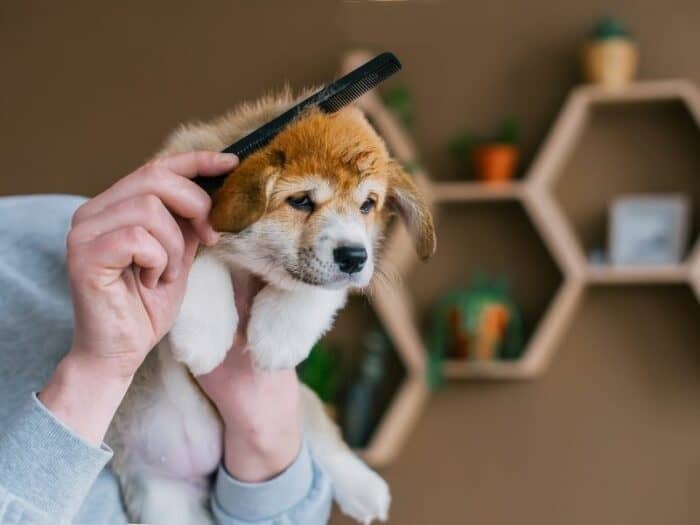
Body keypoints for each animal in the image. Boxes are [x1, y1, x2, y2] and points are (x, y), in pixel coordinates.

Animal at [106, 88, 434, 520]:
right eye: (301, 201)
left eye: (367, 205)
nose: (354, 257)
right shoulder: (172, 207)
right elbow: (201, 257)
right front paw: (204, 337)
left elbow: (312, 290)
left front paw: (278, 338)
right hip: (162, 498)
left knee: (321, 434)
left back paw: (364, 487)